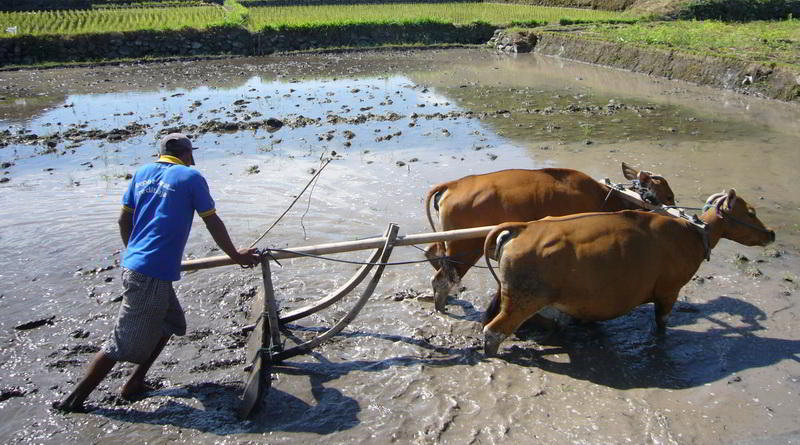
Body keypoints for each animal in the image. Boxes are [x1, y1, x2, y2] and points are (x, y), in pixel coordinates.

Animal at [424, 161, 676, 310]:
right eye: (669, 196)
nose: (676, 211)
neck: (603, 196)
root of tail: (453, 185)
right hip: (464, 248)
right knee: (442, 279)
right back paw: (441, 305)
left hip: (449, 242)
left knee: (432, 253)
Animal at [482, 189, 776, 356]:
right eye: (751, 212)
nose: (771, 233)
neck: (693, 232)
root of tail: (522, 228)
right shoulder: (669, 291)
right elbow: (661, 323)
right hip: (523, 302)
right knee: (493, 330)